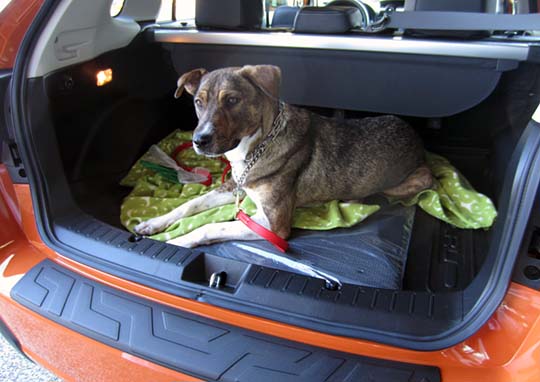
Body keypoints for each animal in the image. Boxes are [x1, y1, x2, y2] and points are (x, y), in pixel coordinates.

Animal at [136, 65, 434, 248]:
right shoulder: (235, 187)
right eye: (199, 102)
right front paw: (153, 223)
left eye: (232, 100)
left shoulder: (272, 225)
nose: (199, 141)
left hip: (415, 181)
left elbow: (212, 226)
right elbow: (191, 204)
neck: (255, 148)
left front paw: (177, 242)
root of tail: (415, 135)